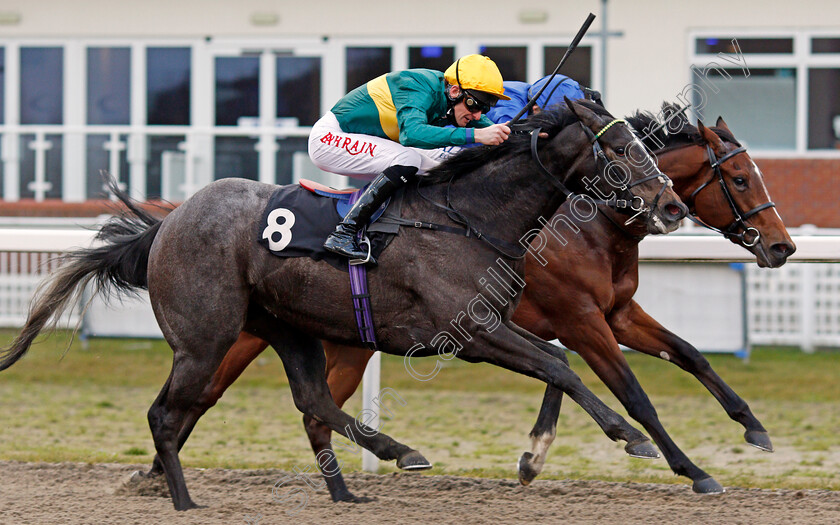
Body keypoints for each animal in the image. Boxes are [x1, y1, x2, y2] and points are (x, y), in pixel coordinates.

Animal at [0, 98, 684, 508]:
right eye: (619, 148)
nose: (672, 205)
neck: (469, 215)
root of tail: (167, 224)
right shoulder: (469, 332)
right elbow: (560, 366)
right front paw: (632, 437)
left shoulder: (499, 323)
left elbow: (559, 363)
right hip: (204, 339)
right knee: (166, 414)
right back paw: (186, 501)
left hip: (287, 326)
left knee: (311, 401)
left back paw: (373, 473)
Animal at [161, 103, 796, 500]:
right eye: (740, 178)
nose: (783, 247)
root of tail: (176, 216)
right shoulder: (570, 318)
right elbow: (625, 390)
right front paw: (686, 467)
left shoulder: (608, 313)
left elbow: (684, 354)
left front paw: (753, 427)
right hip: (233, 333)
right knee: (203, 397)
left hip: (339, 344)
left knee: (311, 409)